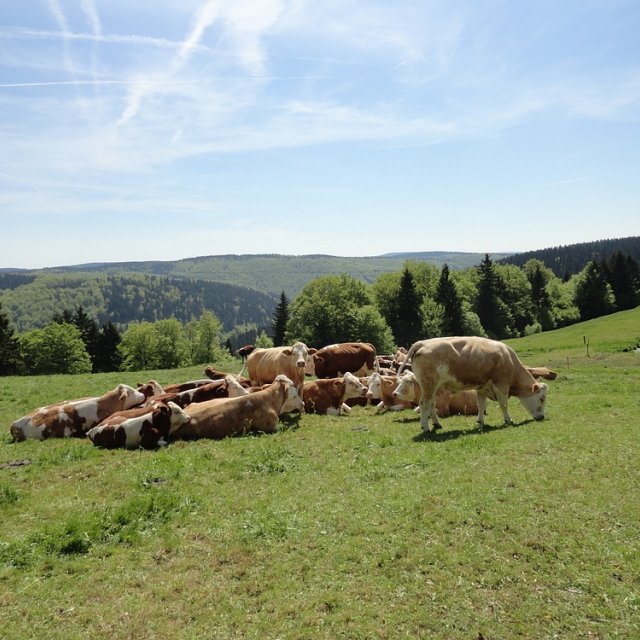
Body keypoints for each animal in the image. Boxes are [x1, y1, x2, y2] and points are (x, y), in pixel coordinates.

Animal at [400, 336, 544, 436]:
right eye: (542, 398)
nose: (542, 417)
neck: (510, 360)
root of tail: (422, 343)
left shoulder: (483, 387)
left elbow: (481, 405)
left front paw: (480, 421)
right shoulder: (501, 385)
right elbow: (503, 405)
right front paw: (508, 420)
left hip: (433, 388)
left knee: (431, 404)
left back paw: (437, 424)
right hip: (429, 385)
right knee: (424, 404)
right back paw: (426, 427)